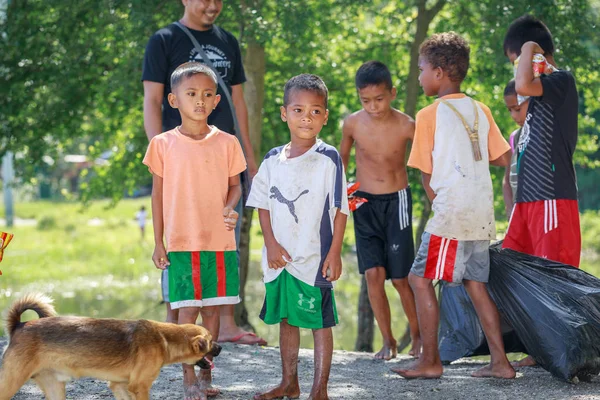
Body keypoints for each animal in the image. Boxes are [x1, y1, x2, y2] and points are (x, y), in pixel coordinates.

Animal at [0, 292, 220, 398]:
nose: (220, 348)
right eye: (211, 341)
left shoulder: (119, 386)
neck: (164, 338)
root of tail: (19, 325)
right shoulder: (140, 387)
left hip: (55, 388)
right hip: (10, 382)